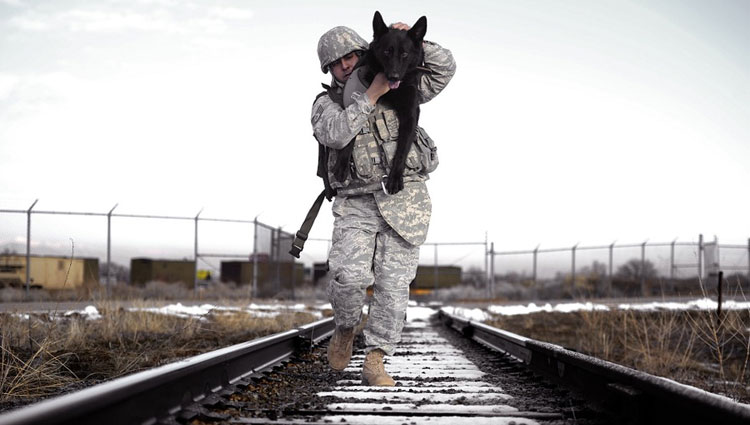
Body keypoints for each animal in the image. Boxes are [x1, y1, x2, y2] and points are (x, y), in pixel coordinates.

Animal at [334, 10, 428, 195]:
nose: (394, 76)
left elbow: (403, 148)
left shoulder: (410, 113)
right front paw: (342, 165)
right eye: (386, 52)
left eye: (404, 54)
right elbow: (350, 133)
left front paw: (395, 179)